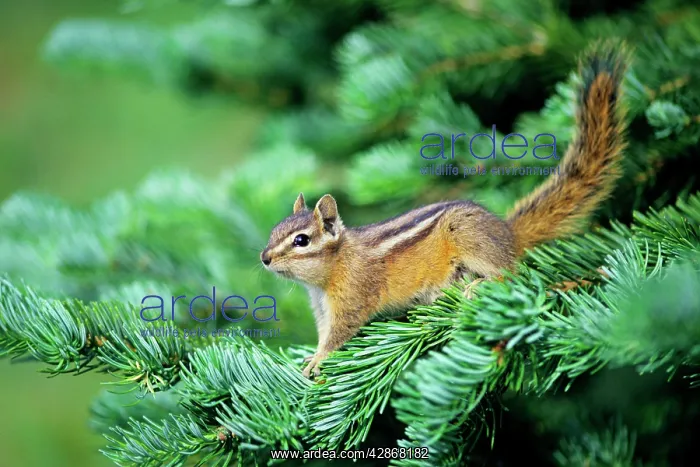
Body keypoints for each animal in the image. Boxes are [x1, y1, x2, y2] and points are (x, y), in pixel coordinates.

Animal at [261, 42, 628, 378]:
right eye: (274, 231)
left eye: (301, 241)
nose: (264, 258)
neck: (329, 273)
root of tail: (507, 232)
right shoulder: (321, 307)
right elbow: (324, 331)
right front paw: (311, 355)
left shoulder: (353, 295)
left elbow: (340, 333)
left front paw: (318, 360)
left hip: (470, 238)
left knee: (513, 272)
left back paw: (479, 285)